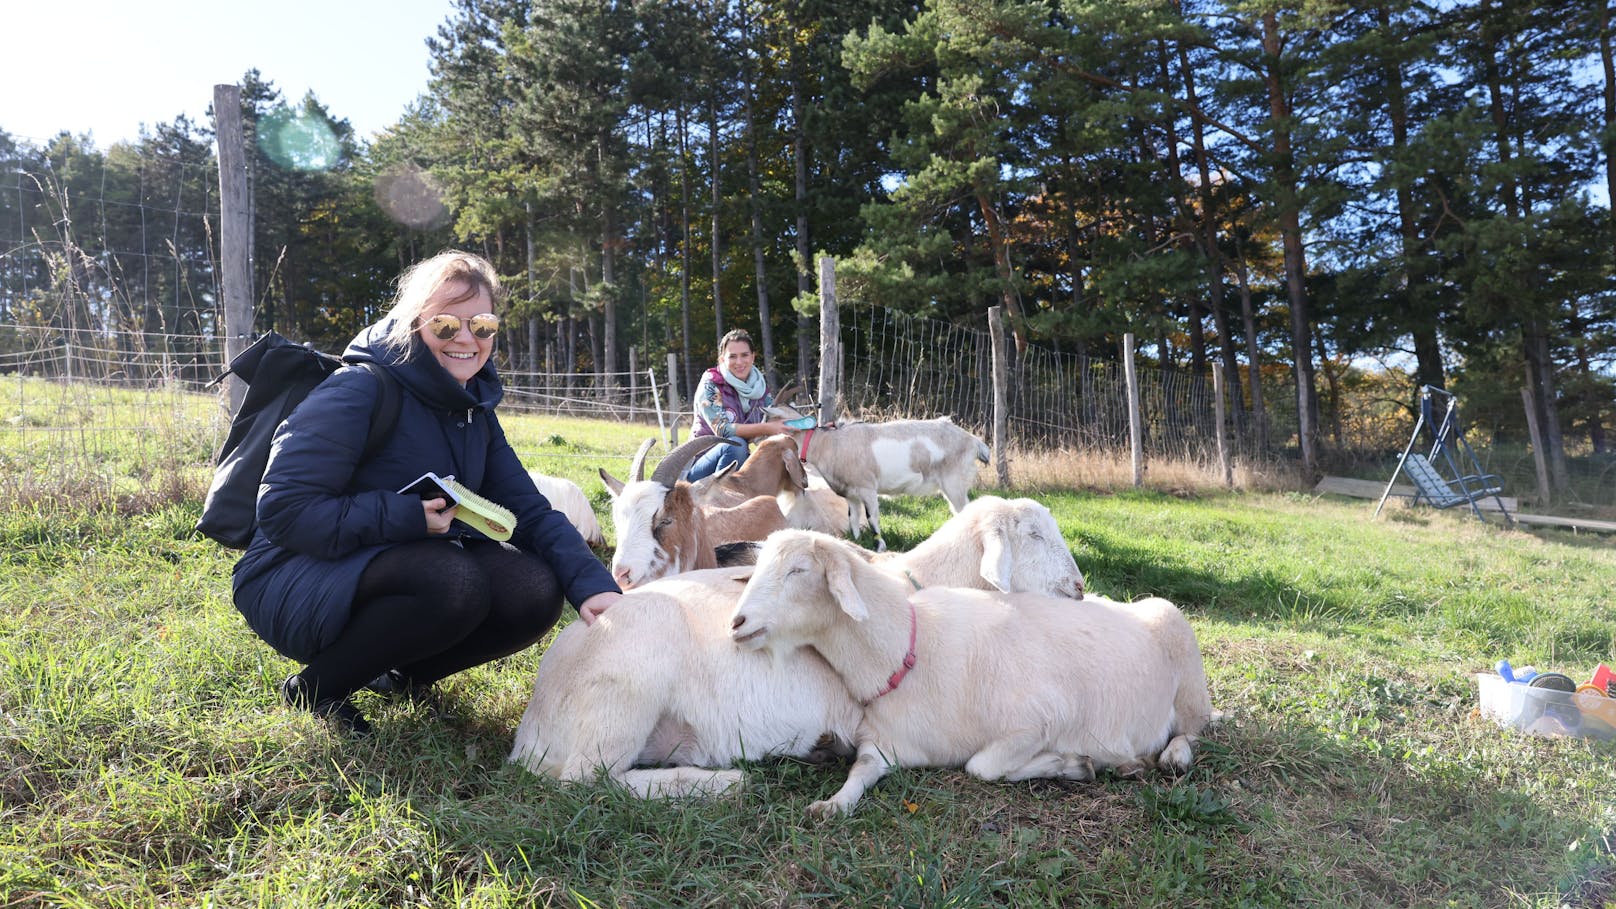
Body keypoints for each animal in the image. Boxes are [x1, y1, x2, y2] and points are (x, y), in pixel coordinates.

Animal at [504, 491, 1085, 795]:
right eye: (1033, 534)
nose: (1079, 588)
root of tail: (532, 725)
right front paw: (1069, 763)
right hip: (626, 692)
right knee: (584, 779)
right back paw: (721, 781)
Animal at [730, 527, 1215, 818]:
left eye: (798, 570)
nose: (736, 622)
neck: (912, 648)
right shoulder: (884, 746)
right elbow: (859, 773)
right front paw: (831, 804)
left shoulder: (1038, 720)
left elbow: (980, 766)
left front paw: (1071, 764)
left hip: (1188, 673)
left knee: (1194, 729)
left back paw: (1171, 756)